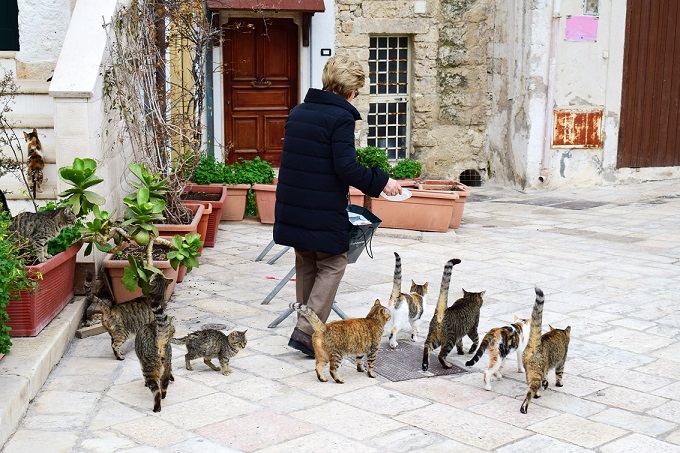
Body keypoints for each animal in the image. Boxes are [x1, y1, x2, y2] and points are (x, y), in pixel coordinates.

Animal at [133, 272, 174, 414]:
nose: (151, 274)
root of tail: (160, 341)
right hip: (167, 364)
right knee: (164, 384)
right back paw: (164, 395)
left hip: (149, 368)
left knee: (156, 392)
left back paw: (157, 407)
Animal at [516, 286, 572, 414]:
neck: (559, 332)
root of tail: (534, 344)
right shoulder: (562, 361)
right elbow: (559, 374)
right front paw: (559, 384)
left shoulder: (545, 368)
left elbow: (546, 377)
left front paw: (546, 383)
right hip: (536, 372)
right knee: (530, 392)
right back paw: (525, 407)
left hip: (529, 371)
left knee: (530, 384)